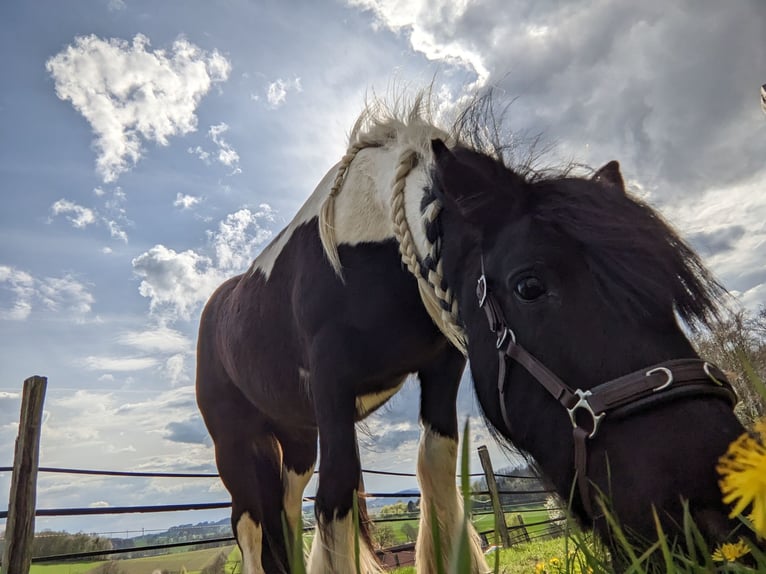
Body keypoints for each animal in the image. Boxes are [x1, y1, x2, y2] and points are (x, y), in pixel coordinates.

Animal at [195, 97, 748, 572]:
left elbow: (435, 471)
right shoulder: (331, 385)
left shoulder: (443, 366)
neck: (371, 255)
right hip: (236, 444)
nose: (715, 515)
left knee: (284, 516)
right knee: (249, 525)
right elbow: (336, 496)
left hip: (295, 438)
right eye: (529, 285)